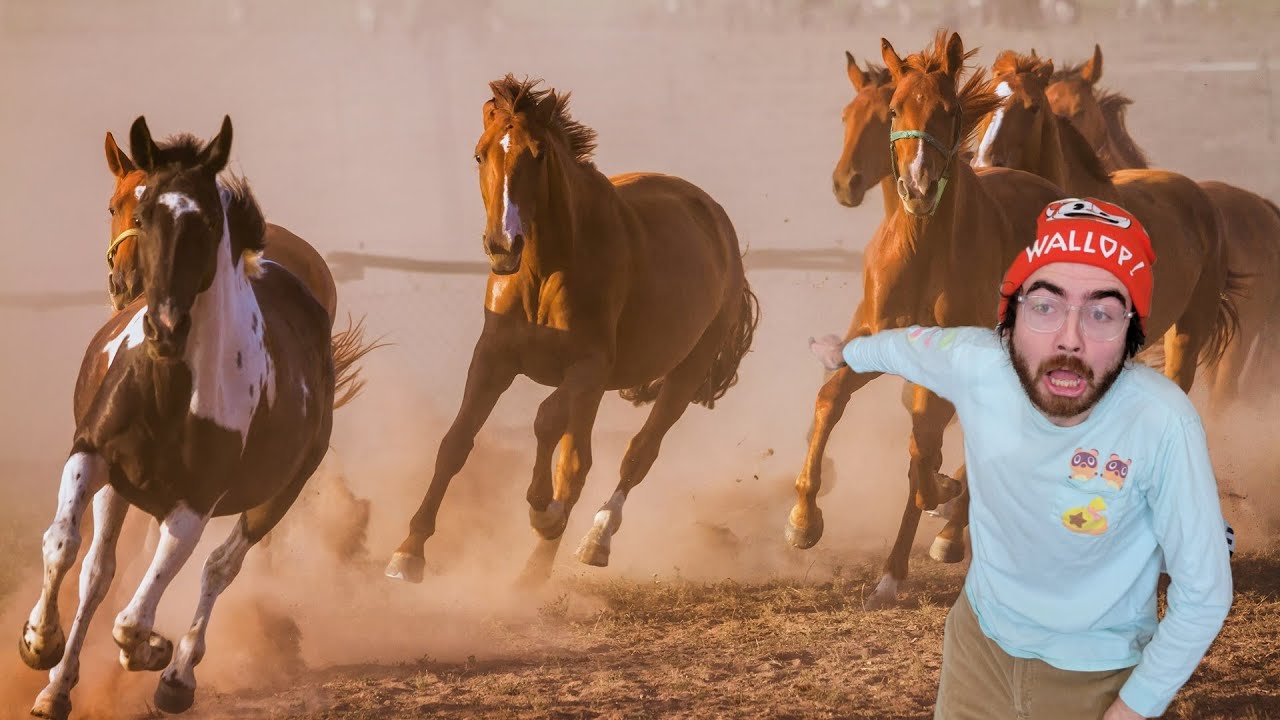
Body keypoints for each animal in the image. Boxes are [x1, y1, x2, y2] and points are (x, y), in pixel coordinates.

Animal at [18, 116, 348, 719]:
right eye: (135, 209)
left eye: (207, 223)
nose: (164, 327)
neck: (170, 386)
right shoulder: (92, 457)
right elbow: (65, 545)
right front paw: (39, 643)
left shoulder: (195, 503)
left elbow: (134, 619)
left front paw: (151, 649)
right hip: (122, 488)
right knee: (99, 572)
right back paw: (59, 684)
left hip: (276, 496)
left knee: (219, 569)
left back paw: (176, 676)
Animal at [385, 74, 759, 585]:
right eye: (480, 154)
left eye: (538, 153)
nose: (502, 246)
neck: (547, 269)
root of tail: (716, 219)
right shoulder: (493, 358)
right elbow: (456, 442)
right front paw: (409, 552)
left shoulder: (587, 368)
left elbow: (547, 425)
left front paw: (542, 509)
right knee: (577, 460)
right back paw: (535, 570)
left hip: (684, 371)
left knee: (636, 454)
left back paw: (589, 541)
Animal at [790, 31, 1065, 609]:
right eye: (895, 109)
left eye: (949, 110)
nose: (917, 186)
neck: (921, 252)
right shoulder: (872, 342)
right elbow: (831, 401)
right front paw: (803, 520)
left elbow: (924, 453)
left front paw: (941, 503)